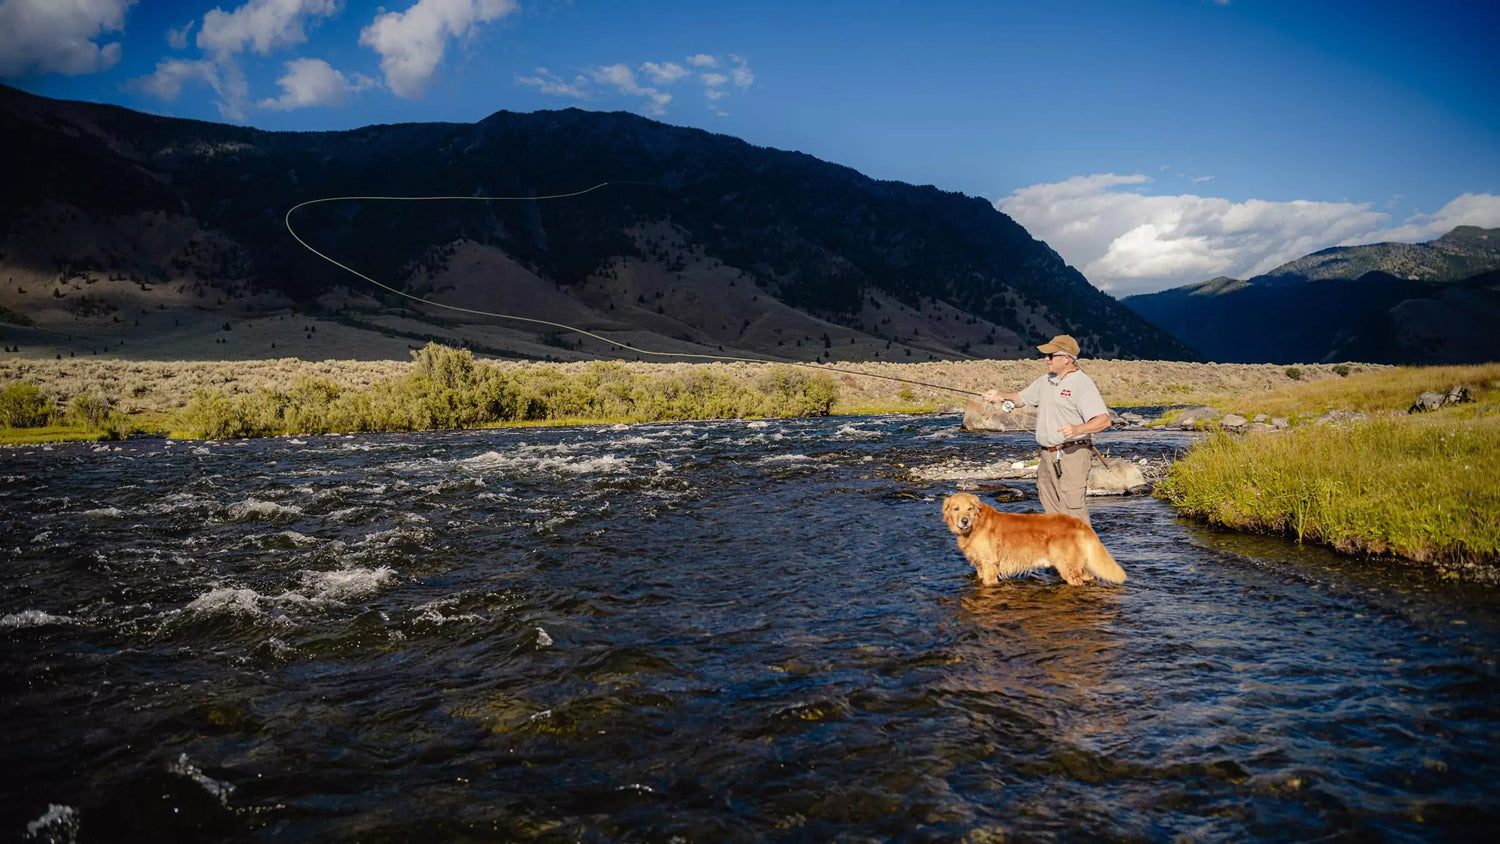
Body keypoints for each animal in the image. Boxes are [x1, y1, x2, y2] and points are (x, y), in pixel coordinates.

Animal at [936, 491, 1128, 584]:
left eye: (969, 508)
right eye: (956, 508)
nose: (964, 521)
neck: (977, 525)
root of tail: (1079, 522)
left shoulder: (990, 565)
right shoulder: (980, 567)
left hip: (1068, 567)